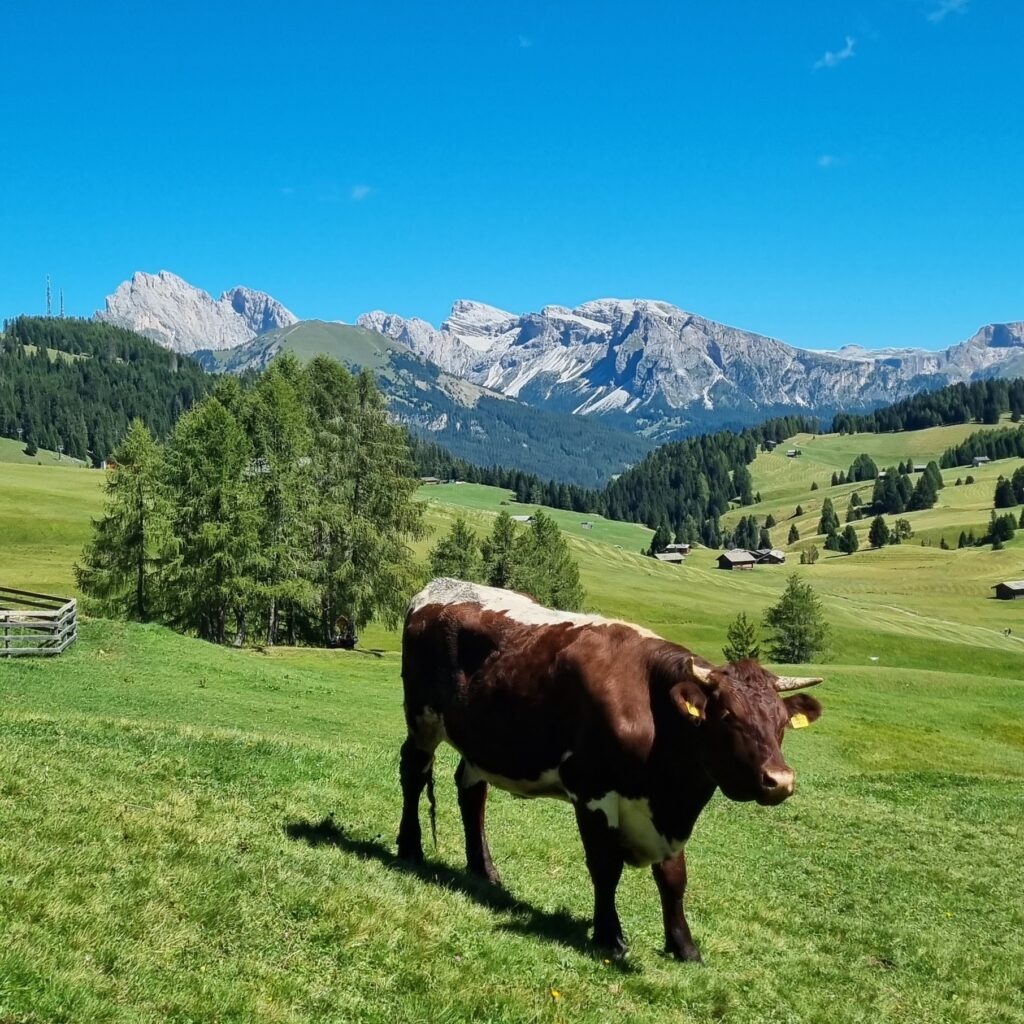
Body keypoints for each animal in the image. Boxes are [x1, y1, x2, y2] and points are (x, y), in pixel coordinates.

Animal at [395, 581, 819, 962]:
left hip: (480, 742)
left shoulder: (665, 813)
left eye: (781, 721)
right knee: (413, 772)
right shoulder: (593, 791)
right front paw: (609, 937)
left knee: (472, 791)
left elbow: (674, 878)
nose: (780, 781)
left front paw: (684, 947)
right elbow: (605, 866)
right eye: (728, 716)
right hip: (423, 719)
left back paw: (483, 871)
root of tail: (438, 589)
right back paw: (411, 848)